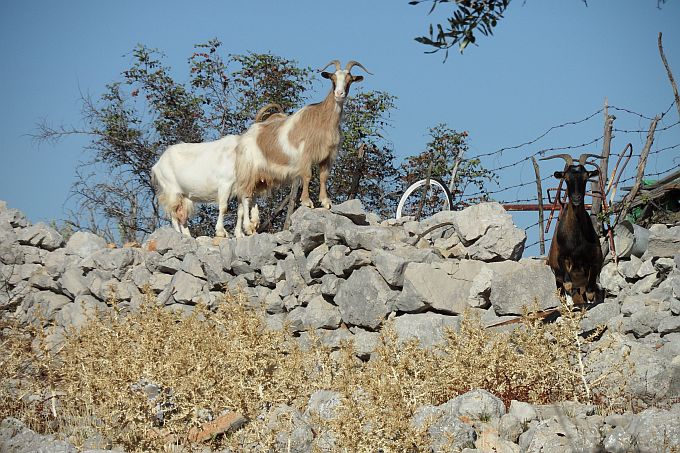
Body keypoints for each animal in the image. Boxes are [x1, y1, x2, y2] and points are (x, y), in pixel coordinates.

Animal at [234, 59, 372, 230]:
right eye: (333, 79)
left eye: (349, 80)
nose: (339, 94)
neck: (323, 119)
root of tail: (249, 133)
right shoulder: (305, 154)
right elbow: (307, 176)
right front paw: (307, 201)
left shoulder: (327, 156)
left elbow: (323, 177)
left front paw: (326, 202)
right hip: (250, 170)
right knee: (245, 195)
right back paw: (247, 226)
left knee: (251, 195)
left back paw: (253, 223)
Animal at [544, 153, 604, 304]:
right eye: (566, 178)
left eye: (586, 177)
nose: (576, 198)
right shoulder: (562, 259)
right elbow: (568, 285)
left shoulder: (594, 264)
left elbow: (590, 292)